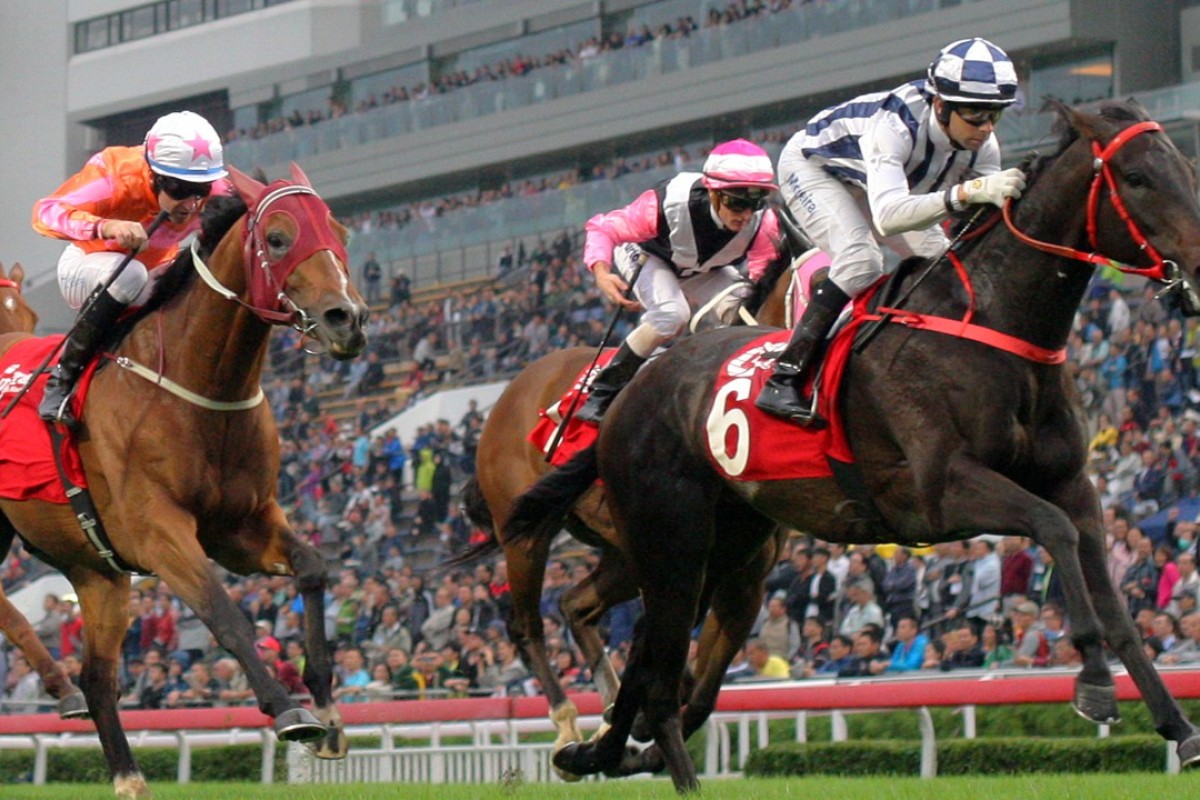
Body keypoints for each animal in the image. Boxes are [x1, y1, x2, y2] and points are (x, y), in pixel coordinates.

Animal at [0, 165, 367, 796]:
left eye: (339, 232)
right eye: (277, 238)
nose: (348, 319)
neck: (200, 388)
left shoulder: (241, 528)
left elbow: (314, 567)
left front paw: (329, 712)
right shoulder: (159, 534)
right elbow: (225, 614)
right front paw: (287, 710)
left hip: (96, 572)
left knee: (98, 677)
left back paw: (123, 770)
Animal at [506, 97, 1200, 791]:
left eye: (1186, 168)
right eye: (1136, 178)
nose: (1195, 267)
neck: (989, 325)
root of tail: (628, 395)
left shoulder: (1072, 484)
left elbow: (1114, 604)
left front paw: (1179, 729)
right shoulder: (942, 489)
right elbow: (1051, 529)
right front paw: (1094, 682)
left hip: (726, 541)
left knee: (651, 658)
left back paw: (596, 751)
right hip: (669, 538)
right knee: (652, 664)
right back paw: (660, 770)